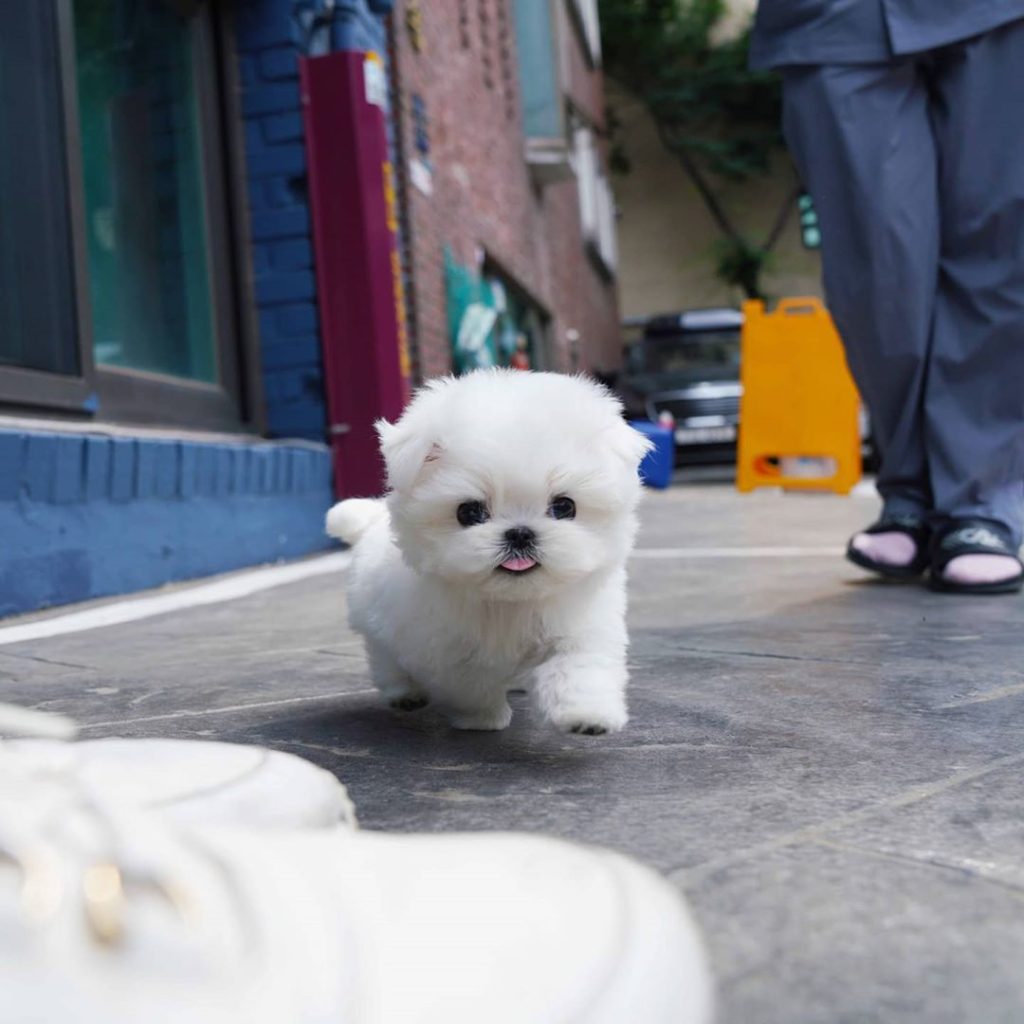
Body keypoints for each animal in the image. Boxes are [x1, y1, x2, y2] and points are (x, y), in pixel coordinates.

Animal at [323, 368, 651, 737]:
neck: (510, 601)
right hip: (378, 627)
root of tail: (370, 521)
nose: (520, 533)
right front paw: (483, 718)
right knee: (387, 661)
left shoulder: (580, 625)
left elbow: (578, 667)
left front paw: (587, 715)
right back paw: (404, 694)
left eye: (565, 506)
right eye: (469, 512)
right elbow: (471, 686)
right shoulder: (448, 651)